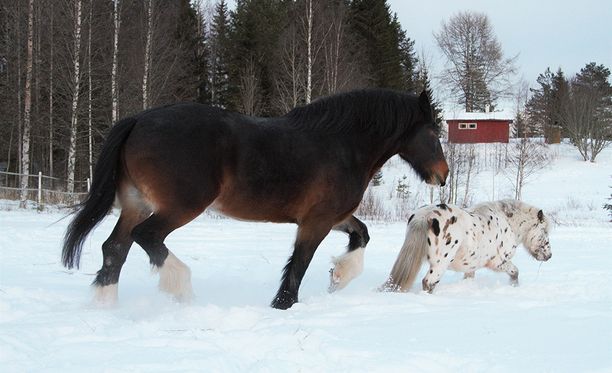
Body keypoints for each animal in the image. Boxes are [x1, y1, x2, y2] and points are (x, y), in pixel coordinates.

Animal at [62, 88, 448, 308]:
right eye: (432, 133)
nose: (443, 175)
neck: (342, 144)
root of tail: (138, 120)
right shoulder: (317, 221)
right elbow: (298, 265)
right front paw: (284, 304)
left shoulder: (331, 217)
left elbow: (362, 234)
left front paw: (339, 276)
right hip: (180, 206)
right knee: (147, 237)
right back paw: (181, 289)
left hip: (135, 204)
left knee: (114, 249)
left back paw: (104, 307)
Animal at [380, 199, 552, 292]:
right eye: (545, 231)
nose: (549, 256)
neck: (507, 222)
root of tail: (425, 217)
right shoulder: (499, 262)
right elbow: (515, 272)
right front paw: (514, 286)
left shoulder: (470, 266)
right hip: (440, 264)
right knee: (428, 282)